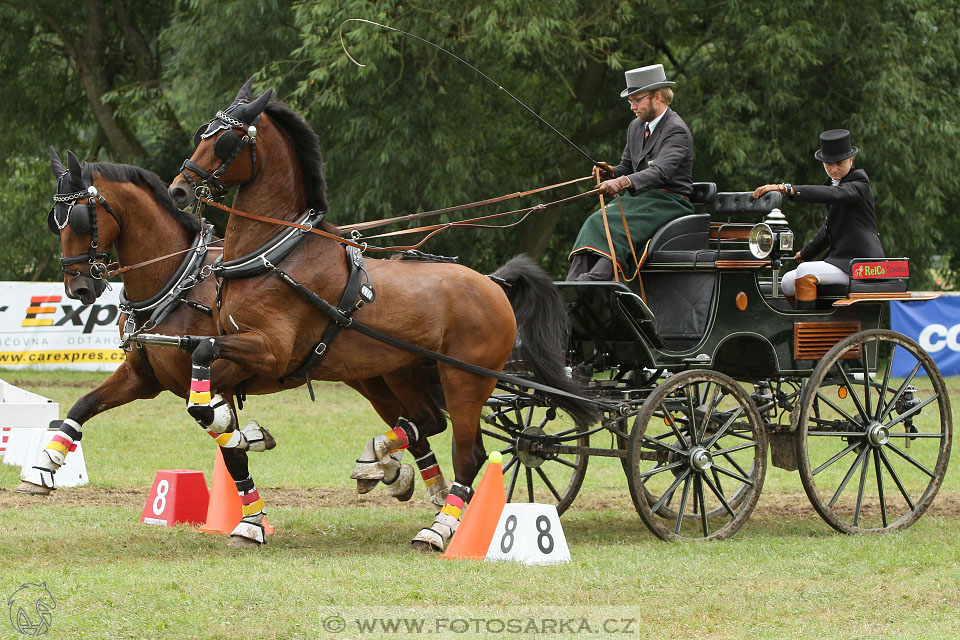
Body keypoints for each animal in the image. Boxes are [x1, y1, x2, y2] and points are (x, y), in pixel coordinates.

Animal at [167, 79, 600, 552]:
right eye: (203, 132)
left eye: (225, 139)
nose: (179, 190)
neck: (277, 255)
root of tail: (493, 282)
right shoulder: (239, 353)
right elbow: (202, 385)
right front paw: (242, 437)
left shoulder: (271, 352)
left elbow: (202, 358)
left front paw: (240, 435)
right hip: (405, 371)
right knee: (427, 422)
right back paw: (381, 460)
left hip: (465, 380)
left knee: (470, 456)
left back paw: (437, 530)